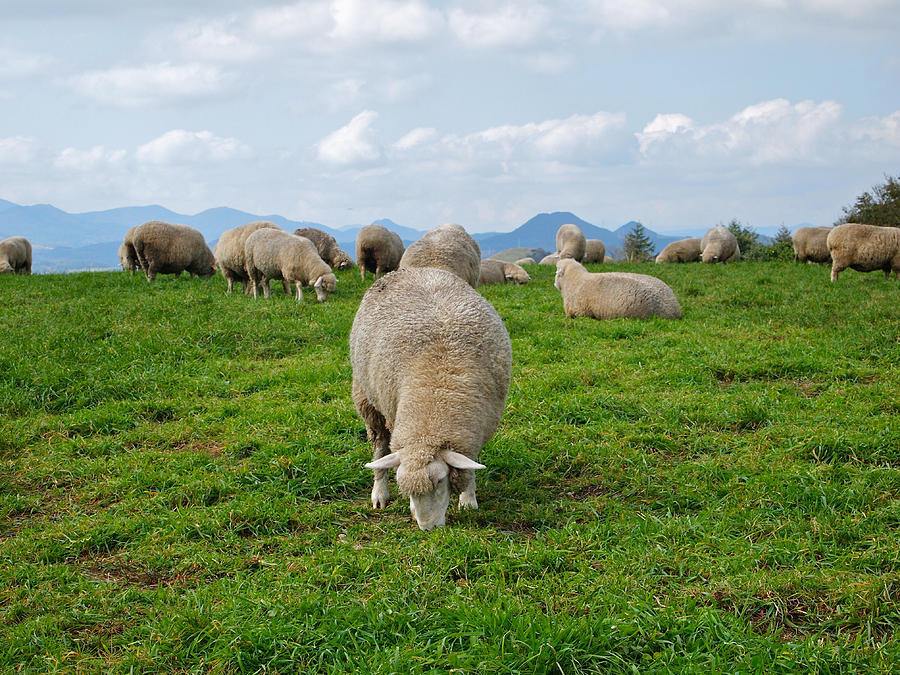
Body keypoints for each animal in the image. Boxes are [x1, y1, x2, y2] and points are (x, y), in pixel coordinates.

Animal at [348, 266, 510, 532]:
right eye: (409, 491)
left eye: (441, 480)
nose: (427, 528)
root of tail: (413, 269)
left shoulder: (472, 432)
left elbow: (468, 466)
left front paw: (468, 500)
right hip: (369, 401)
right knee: (380, 448)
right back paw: (379, 494)